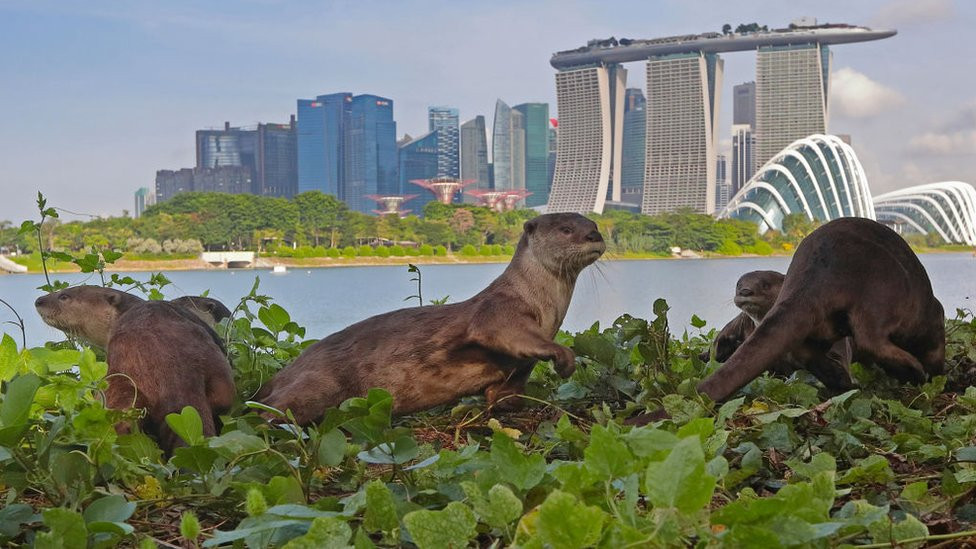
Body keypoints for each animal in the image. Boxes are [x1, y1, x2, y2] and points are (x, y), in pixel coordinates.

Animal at [257, 213, 606, 425]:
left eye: (593, 224)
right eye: (565, 229)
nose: (594, 235)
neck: (541, 304)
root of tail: (281, 374)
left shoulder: (518, 370)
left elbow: (503, 394)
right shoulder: (499, 313)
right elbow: (515, 336)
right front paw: (564, 358)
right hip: (316, 385)